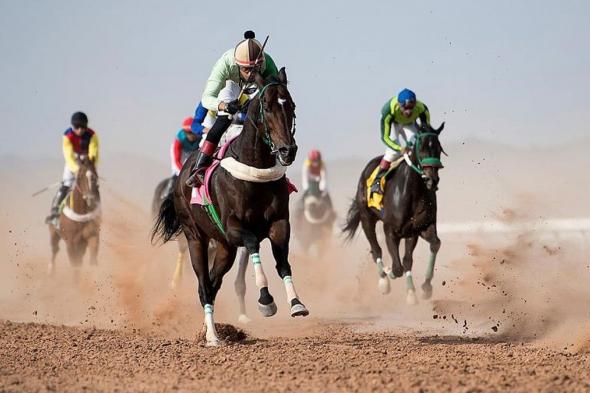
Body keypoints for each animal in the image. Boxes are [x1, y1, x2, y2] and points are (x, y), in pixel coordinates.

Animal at [153, 68, 310, 346]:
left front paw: (296, 303)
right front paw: (266, 301)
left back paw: (212, 330)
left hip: (225, 248)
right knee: (204, 286)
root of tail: (181, 178)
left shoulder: (280, 223)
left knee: (213, 284)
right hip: (195, 238)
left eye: (291, 105)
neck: (255, 169)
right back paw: (213, 337)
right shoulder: (234, 228)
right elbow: (253, 243)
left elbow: (282, 262)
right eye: (267, 106)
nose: (287, 150)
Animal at [344, 122, 446, 304]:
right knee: (376, 249)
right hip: (366, 218)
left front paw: (421, 289)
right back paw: (383, 280)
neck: (412, 192)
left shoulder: (417, 229)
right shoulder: (390, 231)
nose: (431, 180)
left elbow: (418, 254)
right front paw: (389, 272)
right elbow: (397, 267)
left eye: (439, 149)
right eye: (421, 147)